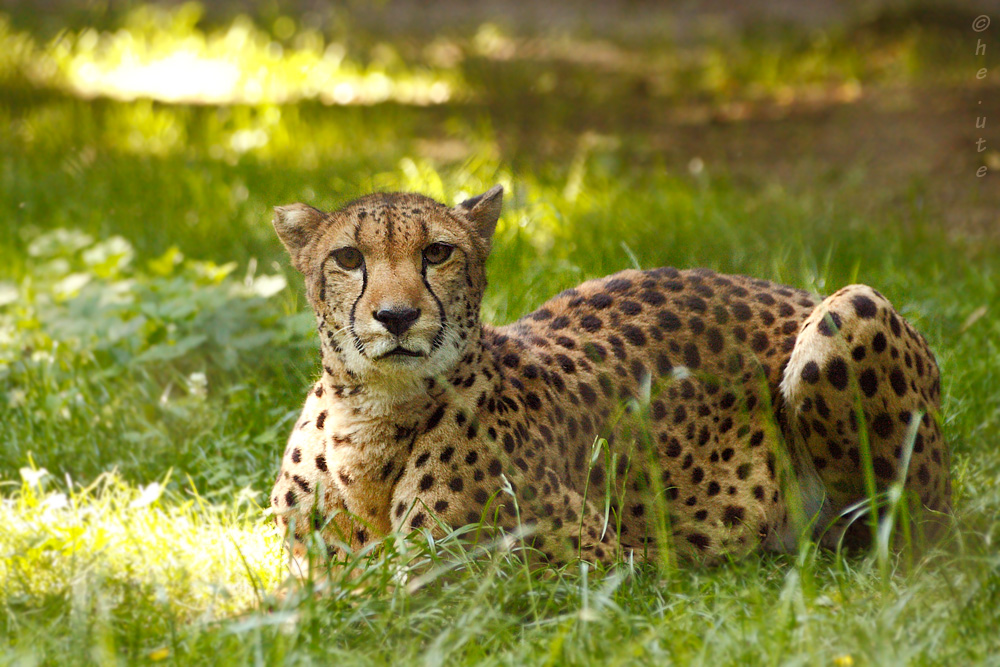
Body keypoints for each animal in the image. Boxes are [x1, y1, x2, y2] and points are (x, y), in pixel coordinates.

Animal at [268, 185, 952, 568]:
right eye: (348, 257)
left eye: (437, 252)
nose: (397, 316)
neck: (372, 414)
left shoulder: (554, 568)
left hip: (851, 307)